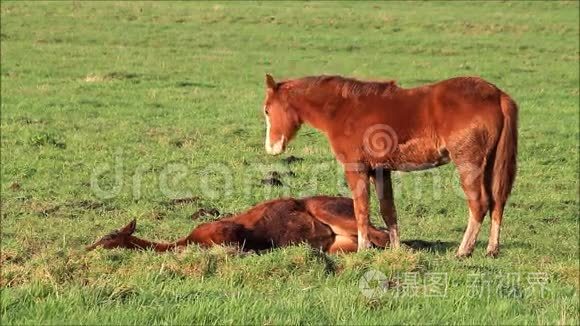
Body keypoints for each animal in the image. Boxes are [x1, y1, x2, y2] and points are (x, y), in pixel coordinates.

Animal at [260, 74, 520, 258]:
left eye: (267, 110)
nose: (272, 148)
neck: (343, 109)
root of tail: (498, 96)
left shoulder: (356, 169)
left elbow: (361, 209)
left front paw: (363, 249)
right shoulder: (380, 170)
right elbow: (388, 210)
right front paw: (396, 249)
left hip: (469, 164)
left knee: (479, 204)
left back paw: (463, 250)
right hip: (492, 165)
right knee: (497, 201)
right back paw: (492, 249)